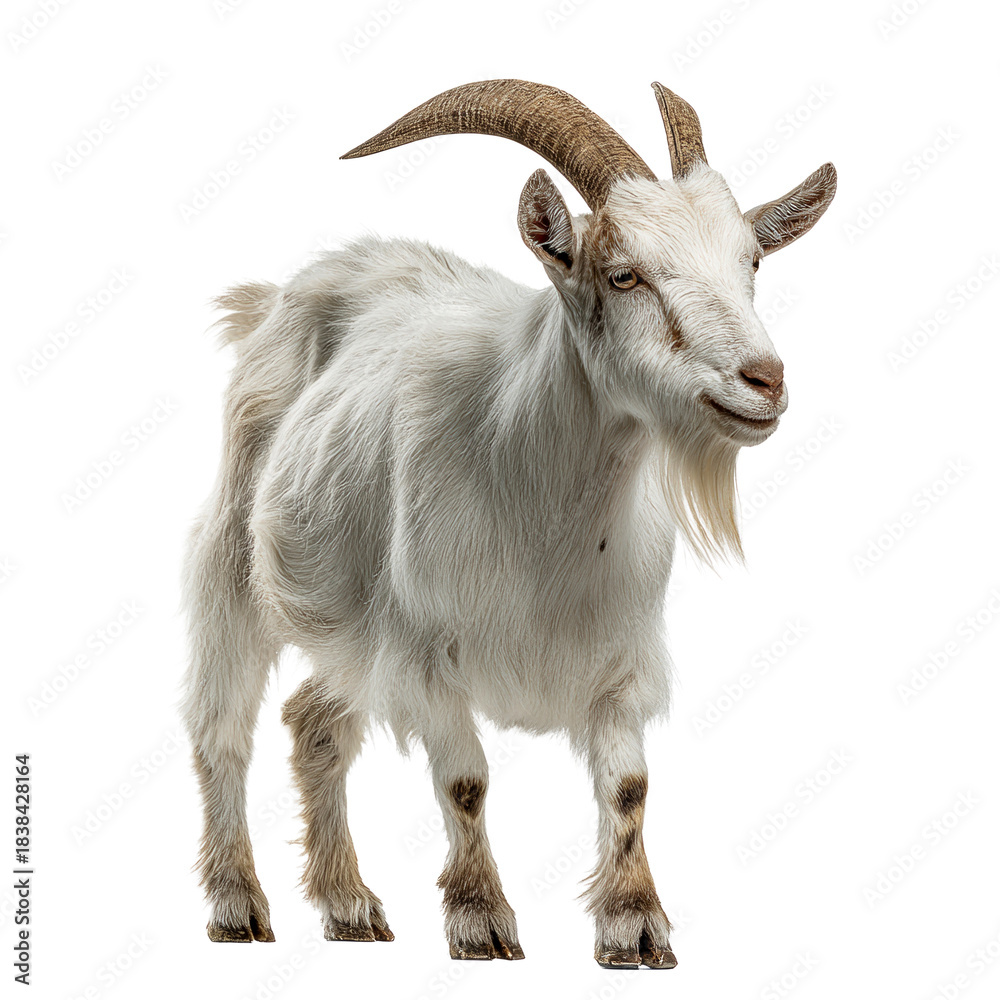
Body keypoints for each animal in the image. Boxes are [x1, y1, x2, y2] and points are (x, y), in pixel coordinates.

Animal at [181, 78, 836, 968]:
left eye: (752, 264)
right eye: (624, 274)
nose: (763, 380)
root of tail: (275, 301)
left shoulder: (622, 653)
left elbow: (628, 787)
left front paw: (636, 926)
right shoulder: (424, 650)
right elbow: (465, 781)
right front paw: (480, 920)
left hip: (350, 622)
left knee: (313, 723)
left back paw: (349, 906)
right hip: (235, 562)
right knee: (223, 727)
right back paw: (236, 905)